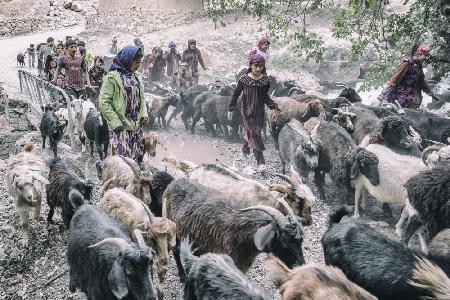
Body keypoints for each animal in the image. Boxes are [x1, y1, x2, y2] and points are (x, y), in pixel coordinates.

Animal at [163, 177, 306, 282]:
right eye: (284, 242)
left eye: (300, 242)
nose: (301, 266)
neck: (243, 235)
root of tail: (173, 183)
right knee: (175, 250)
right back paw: (182, 275)